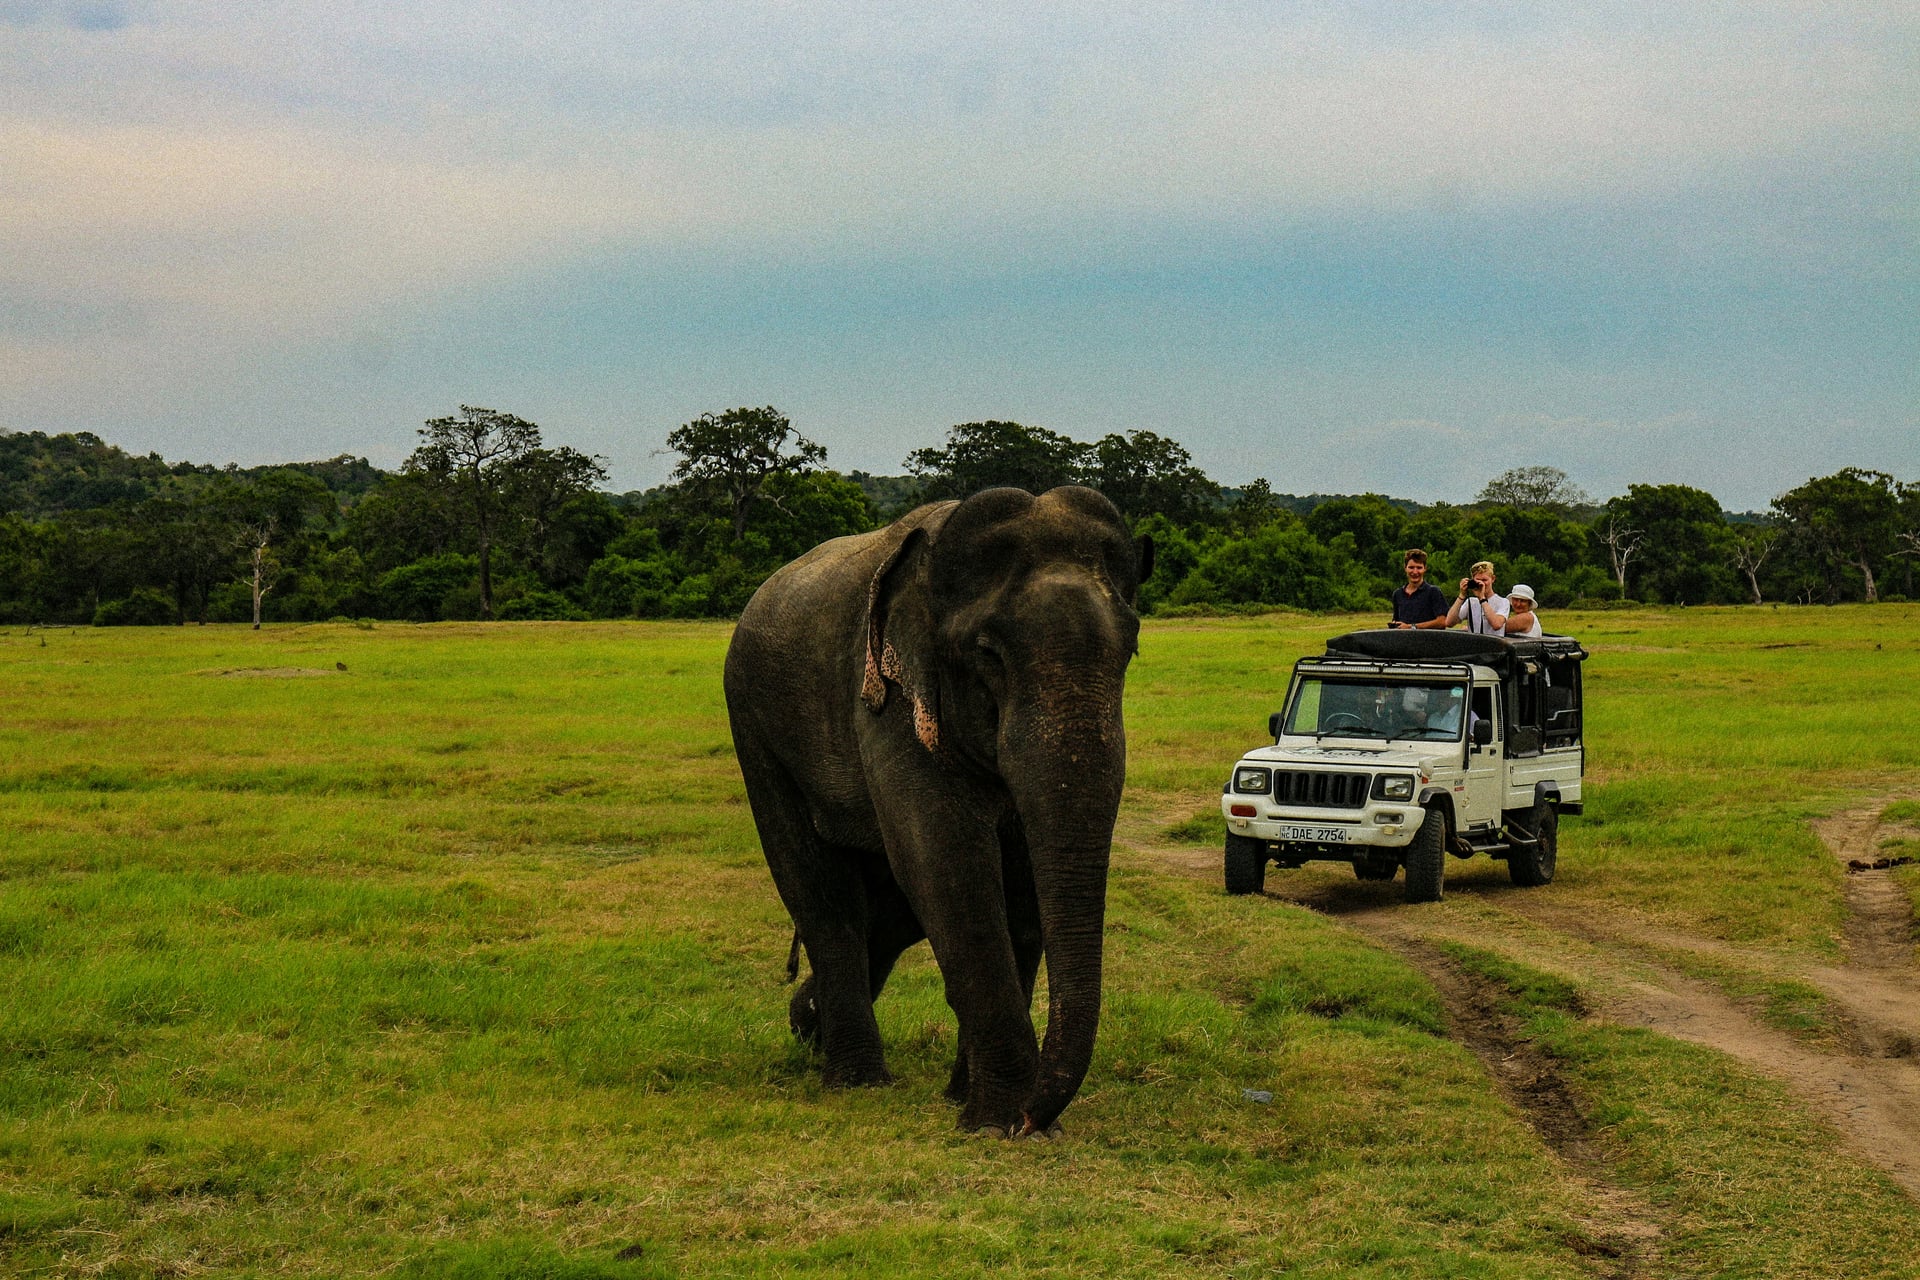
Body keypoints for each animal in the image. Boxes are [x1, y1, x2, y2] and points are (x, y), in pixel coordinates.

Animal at [724, 485, 1152, 1135]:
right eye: (988, 654)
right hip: (754, 726)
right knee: (820, 891)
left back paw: (808, 1026)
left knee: (885, 910)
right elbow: (945, 859)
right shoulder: (889, 697)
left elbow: (1017, 880)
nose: (1035, 1118)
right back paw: (855, 1079)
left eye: (1131, 650)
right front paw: (997, 1122)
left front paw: (978, 1105)